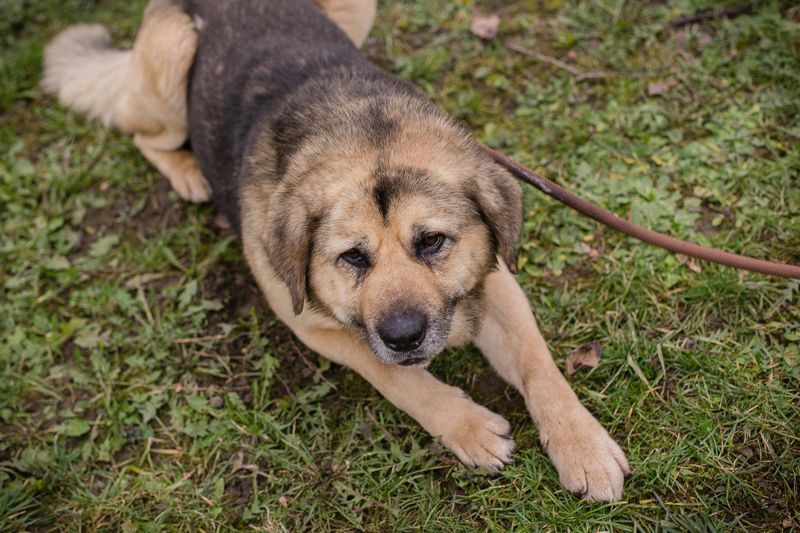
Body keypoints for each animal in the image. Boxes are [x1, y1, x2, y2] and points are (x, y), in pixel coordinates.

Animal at [42, 0, 630, 501]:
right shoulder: (311, 322)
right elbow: (398, 376)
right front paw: (467, 426)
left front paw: (582, 445)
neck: (369, 138)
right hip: (171, 56)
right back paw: (189, 172)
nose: (404, 335)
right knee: (143, 135)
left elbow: (539, 364)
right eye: (352, 257)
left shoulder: (495, 280)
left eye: (432, 241)